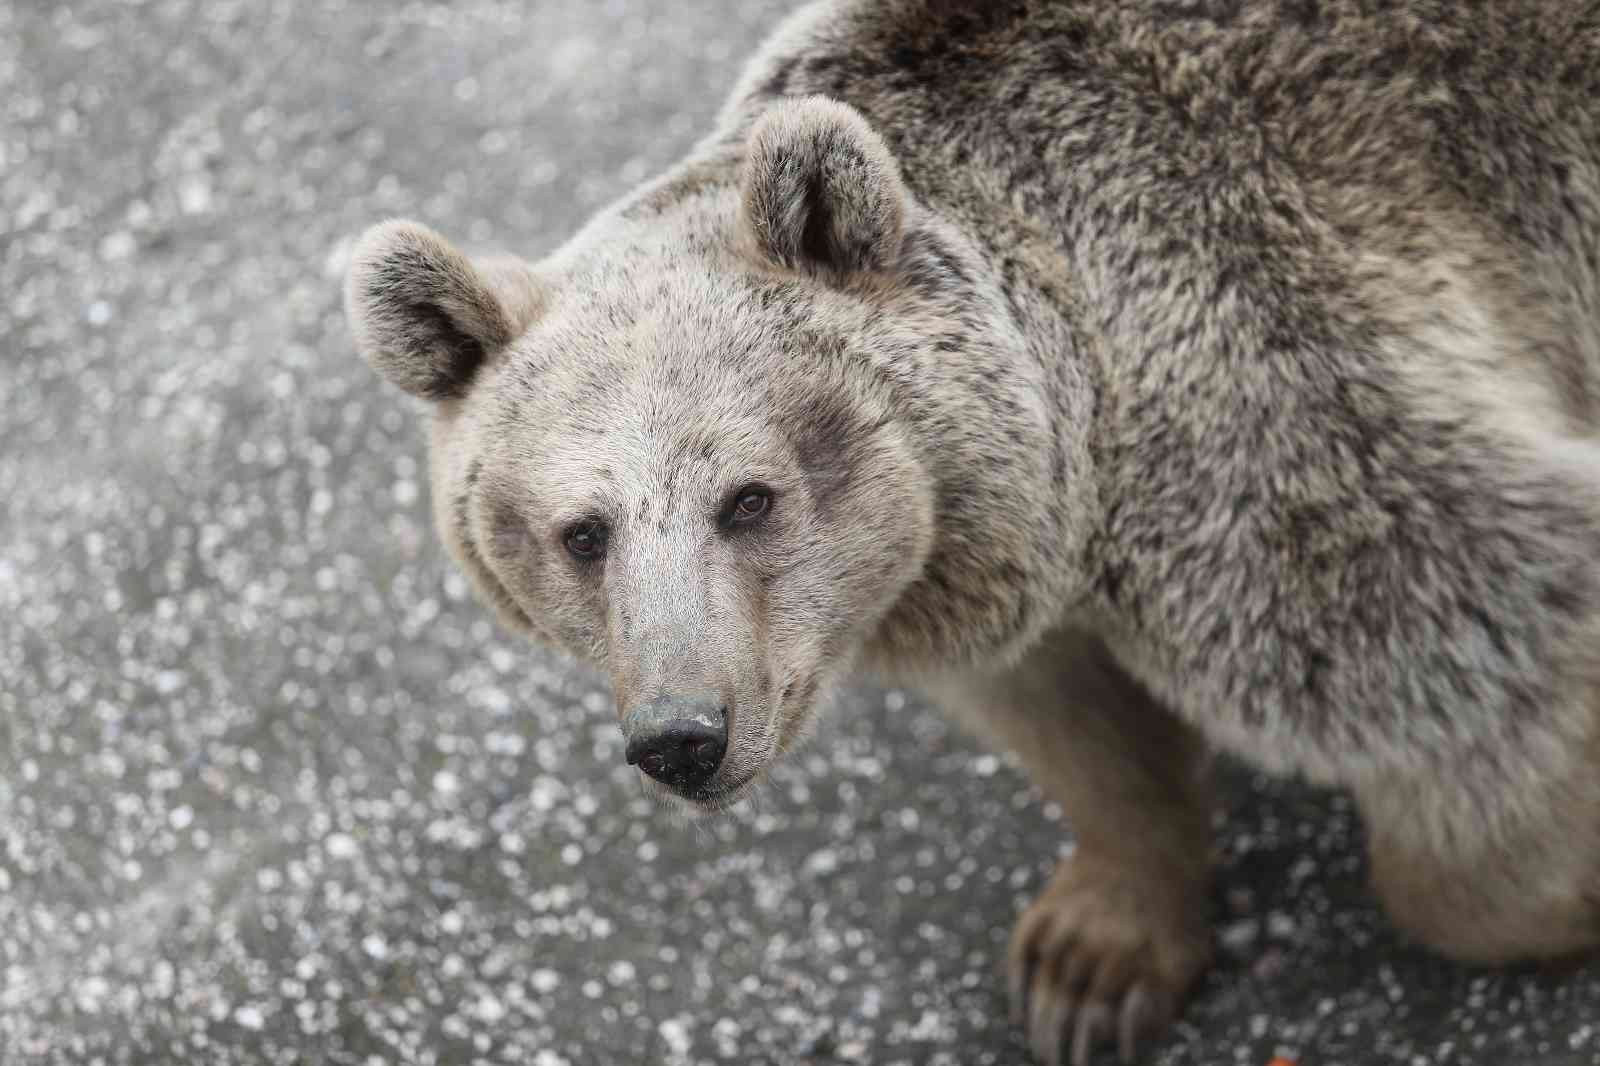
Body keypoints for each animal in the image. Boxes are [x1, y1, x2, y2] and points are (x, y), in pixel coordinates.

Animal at [344, 4, 1600, 1056]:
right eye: (582, 533)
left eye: (748, 496)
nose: (681, 734)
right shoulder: (967, 578)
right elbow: (1076, 734)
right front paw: (1087, 960)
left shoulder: (1263, 409)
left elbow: (1474, 660)